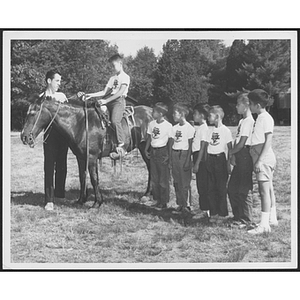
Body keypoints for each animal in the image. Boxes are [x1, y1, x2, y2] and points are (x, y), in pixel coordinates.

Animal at [20, 95, 152, 207]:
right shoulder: (81, 157)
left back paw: (147, 195)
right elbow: (82, 177)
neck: (80, 123)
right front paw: (81, 200)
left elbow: (94, 178)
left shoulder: (92, 157)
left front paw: (97, 202)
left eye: (32, 113)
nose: (24, 137)